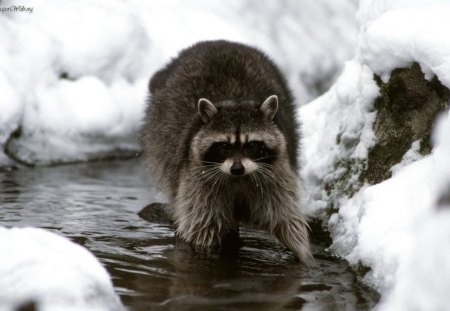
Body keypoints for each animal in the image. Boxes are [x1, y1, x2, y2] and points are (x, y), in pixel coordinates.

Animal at [142, 39, 312, 264]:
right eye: (224, 146)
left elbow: (288, 222)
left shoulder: (276, 177)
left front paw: (306, 258)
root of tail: (219, 42)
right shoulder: (198, 182)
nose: (237, 169)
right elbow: (201, 229)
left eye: (252, 145)